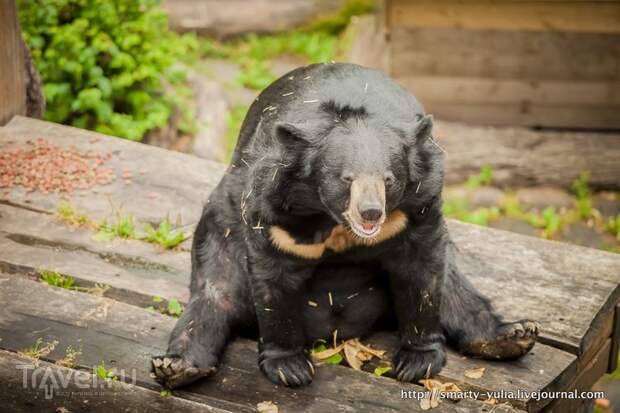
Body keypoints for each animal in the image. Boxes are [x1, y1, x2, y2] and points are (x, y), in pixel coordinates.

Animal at [153, 62, 540, 388]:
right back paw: (178, 366)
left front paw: (418, 360)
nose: (370, 213)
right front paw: (289, 367)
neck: (332, 220)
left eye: (388, 180)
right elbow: (273, 279)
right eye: (346, 178)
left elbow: (423, 274)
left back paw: (512, 335)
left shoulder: (419, 206)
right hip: (220, 227)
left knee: (455, 288)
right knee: (217, 292)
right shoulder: (274, 211)